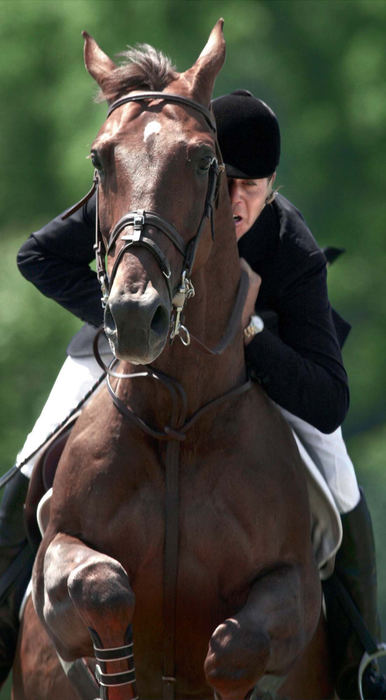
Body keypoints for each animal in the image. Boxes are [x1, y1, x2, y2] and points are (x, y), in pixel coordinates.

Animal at [12, 19, 334, 696]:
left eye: (204, 159)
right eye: (99, 159)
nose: (137, 316)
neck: (176, 419)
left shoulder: (293, 588)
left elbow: (236, 646)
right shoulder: (58, 562)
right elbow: (104, 588)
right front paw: (113, 673)